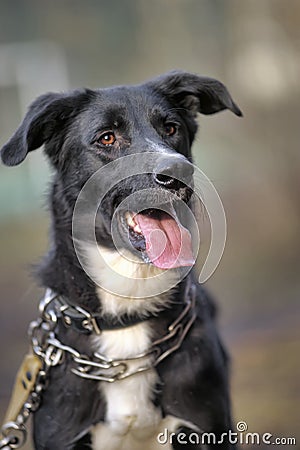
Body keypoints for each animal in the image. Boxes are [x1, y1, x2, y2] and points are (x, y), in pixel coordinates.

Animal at [0, 72, 241, 448]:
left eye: (171, 128)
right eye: (107, 137)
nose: (178, 172)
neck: (128, 309)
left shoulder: (208, 427)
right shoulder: (62, 436)